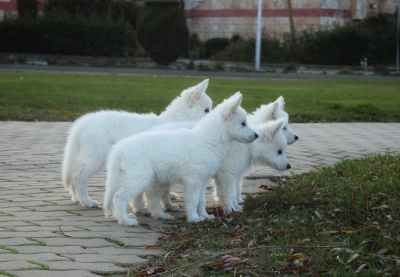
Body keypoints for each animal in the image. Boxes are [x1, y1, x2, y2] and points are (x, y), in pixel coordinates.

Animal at [61, 78, 212, 207]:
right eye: (206, 110)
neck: (177, 119)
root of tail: (82, 122)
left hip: (88, 155)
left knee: (74, 174)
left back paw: (77, 198)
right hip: (96, 156)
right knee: (79, 178)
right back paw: (87, 202)